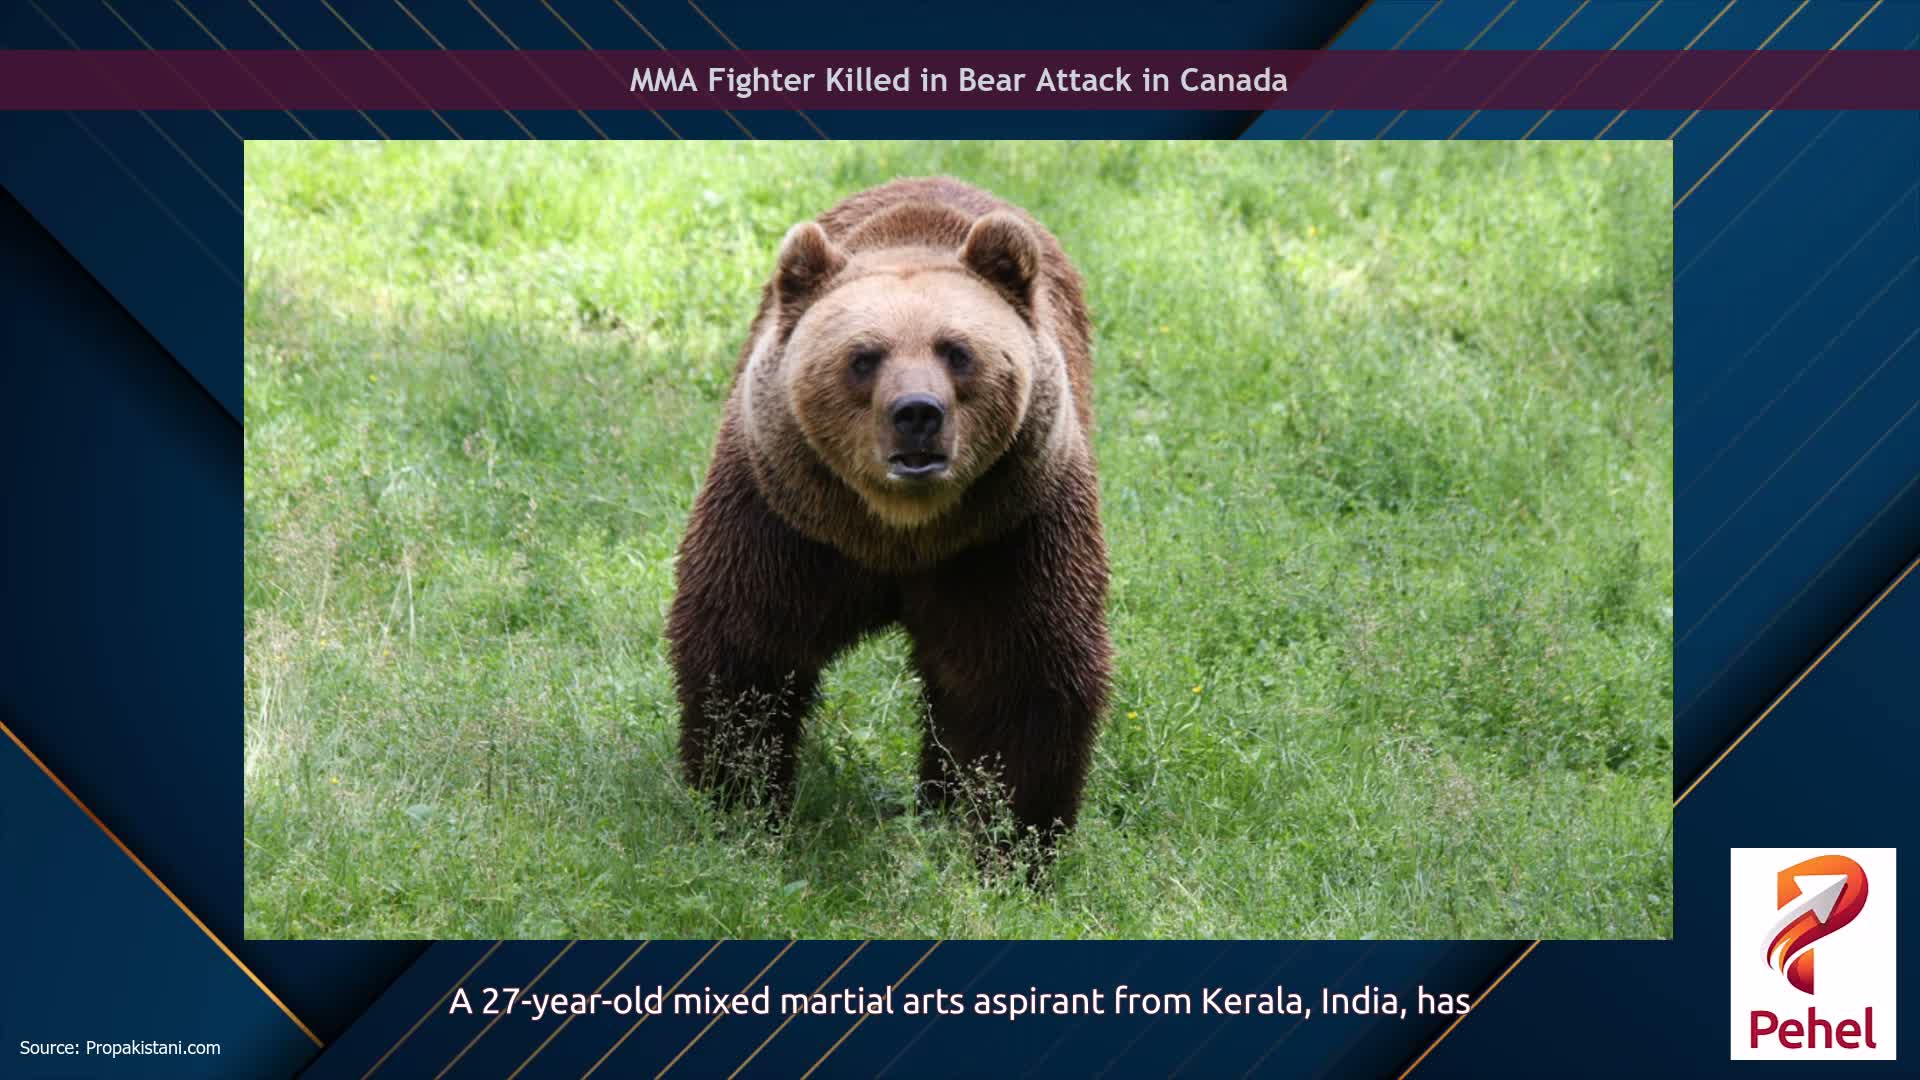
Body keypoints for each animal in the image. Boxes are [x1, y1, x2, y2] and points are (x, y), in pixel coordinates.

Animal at [666, 176, 1111, 856]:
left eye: (957, 351)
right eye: (864, 357)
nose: (917, 413)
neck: (897, 532)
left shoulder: (1009, 535)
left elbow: (1021, 682)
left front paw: (1011, 842)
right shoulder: (784, 522)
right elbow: (745, 652)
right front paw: (738, 805)